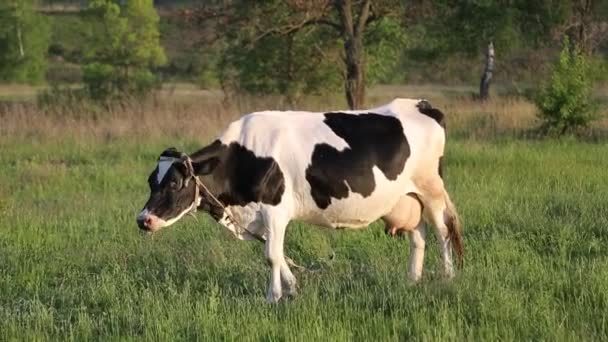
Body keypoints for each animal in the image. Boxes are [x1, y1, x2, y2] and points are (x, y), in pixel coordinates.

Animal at [137, 98, 460, 302]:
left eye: (174, 182)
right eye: (151, 181)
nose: (143, 220)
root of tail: (422, 104)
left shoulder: (275, 210)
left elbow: (271, 255)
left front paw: (272, 297)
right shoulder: (264, 216)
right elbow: (278, 254)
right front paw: (292, 289)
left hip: (431, 190)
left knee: (442, 232)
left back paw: (447, 277)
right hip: (407, 198)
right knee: (419, 237)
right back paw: (412, 280)